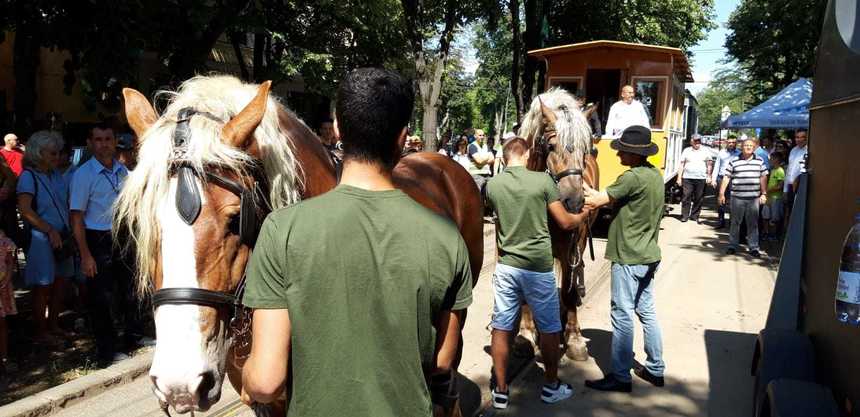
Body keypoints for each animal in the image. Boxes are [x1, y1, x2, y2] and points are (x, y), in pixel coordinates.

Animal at [516, 88, 596, 360]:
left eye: (587, 148)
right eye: (550, 146)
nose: (574, 201)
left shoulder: (573, 244)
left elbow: (569, 288)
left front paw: (573, 338)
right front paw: (527, 333)